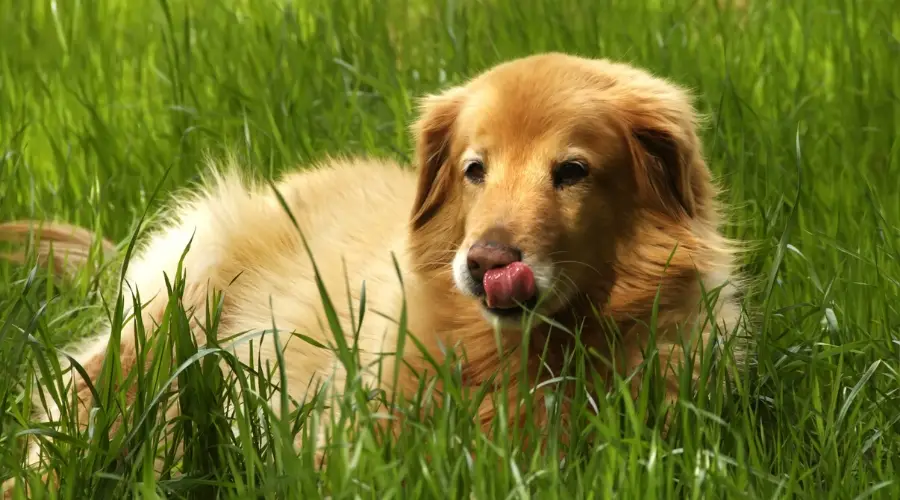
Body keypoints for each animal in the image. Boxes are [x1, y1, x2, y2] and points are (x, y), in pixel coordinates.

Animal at [0, 51, 744, 492]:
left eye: (573, 171)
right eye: (476, 169)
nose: (486, 263)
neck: (533, 351)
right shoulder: (341, 447)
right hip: (162, 328)